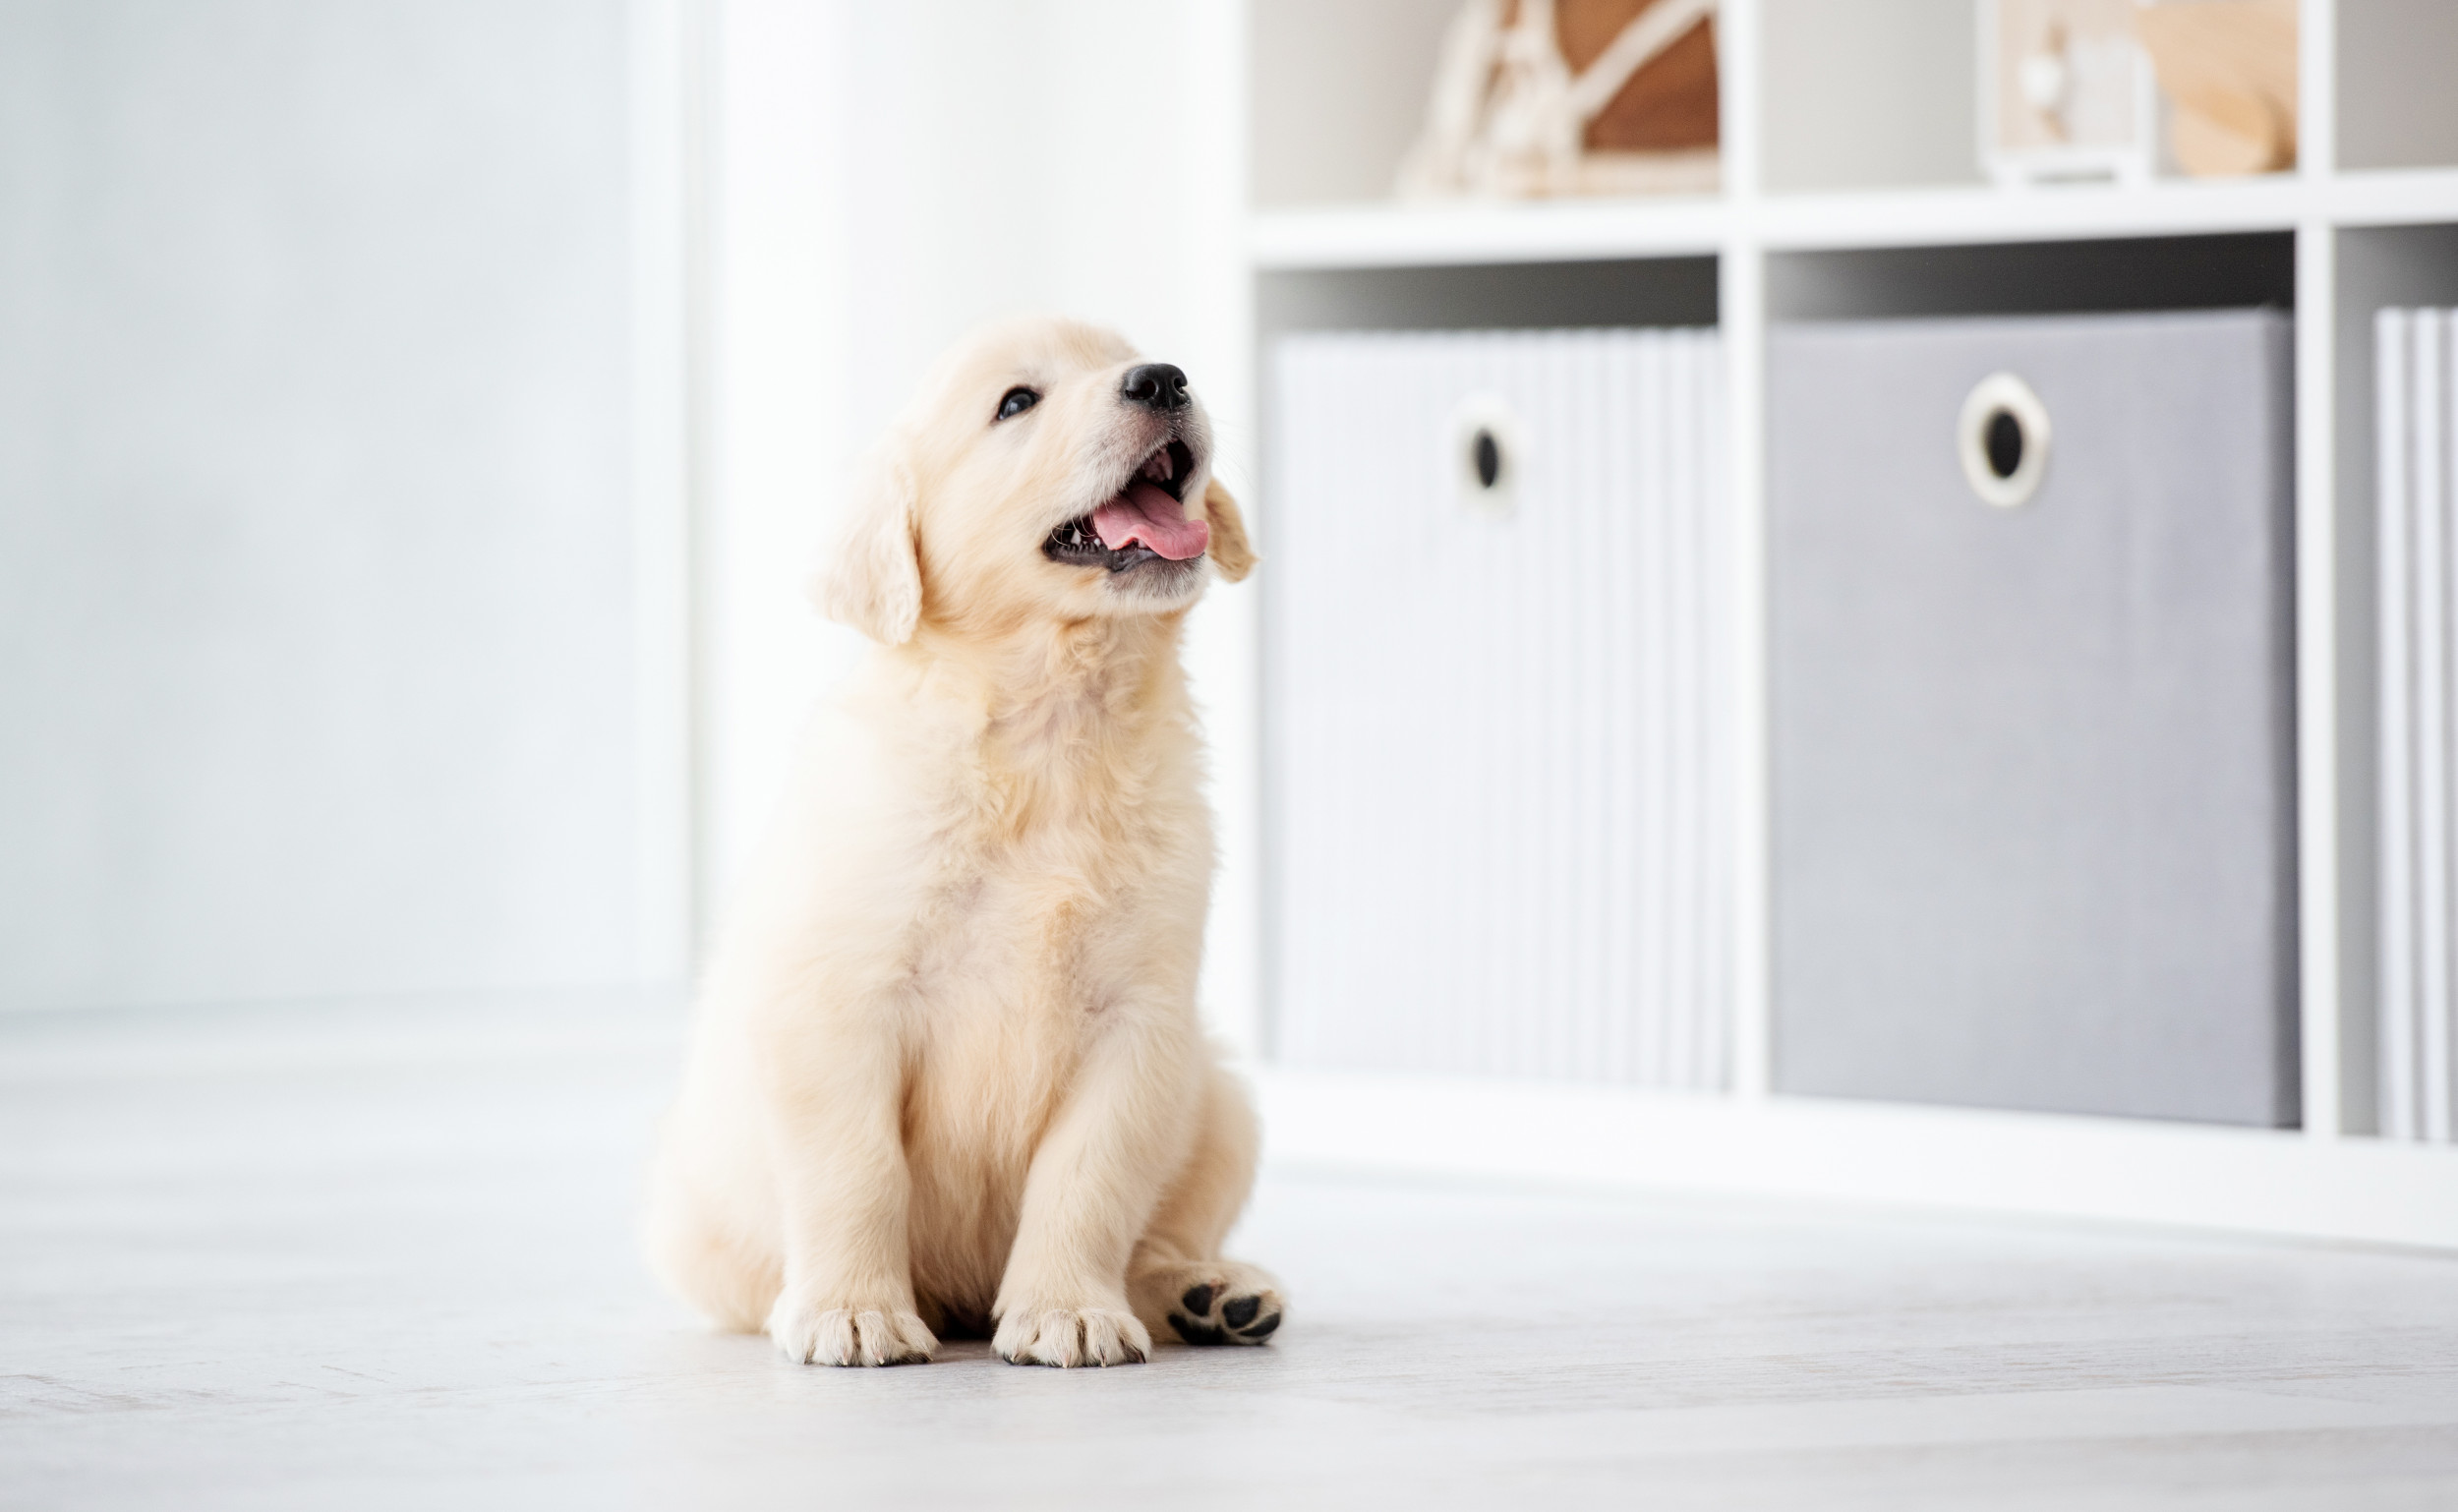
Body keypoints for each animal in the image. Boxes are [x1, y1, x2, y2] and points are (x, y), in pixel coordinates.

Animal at [644, 320, 1278, 1376]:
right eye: (1017, 403)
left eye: (1133, 355)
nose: (1164, 379)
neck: (1049, 732)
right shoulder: (838, 1007)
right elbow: (858, 1171)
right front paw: (853, 1311)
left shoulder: (1140, 1024)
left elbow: (1090, 1179)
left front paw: (1066, 1308)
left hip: (1225, 1101)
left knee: (1162, 1234)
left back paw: (1207, 1292)